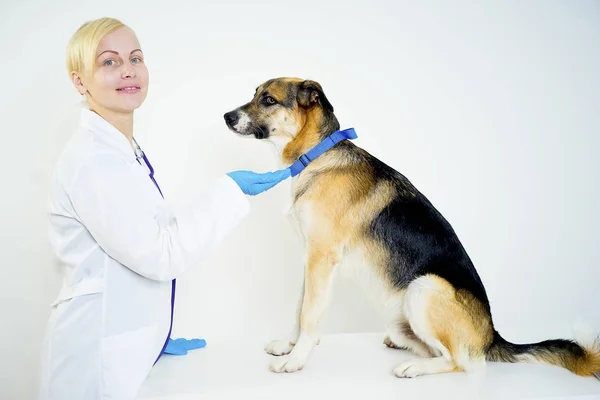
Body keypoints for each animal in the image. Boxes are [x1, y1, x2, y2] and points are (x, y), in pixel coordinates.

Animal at [223, 76, 596, 376]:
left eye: (269, 99)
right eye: (255, 94)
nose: (226, 117)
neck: (318, 156)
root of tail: (492, 337)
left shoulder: (321, 258)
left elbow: (310, 314)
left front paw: (296, 360)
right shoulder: (310, 260)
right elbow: (298, 309)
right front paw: (290, 346)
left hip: (424, 288)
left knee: (462, 362)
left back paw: (413, 368)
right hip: (403, 316)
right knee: (436, 349)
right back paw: (403, 348)